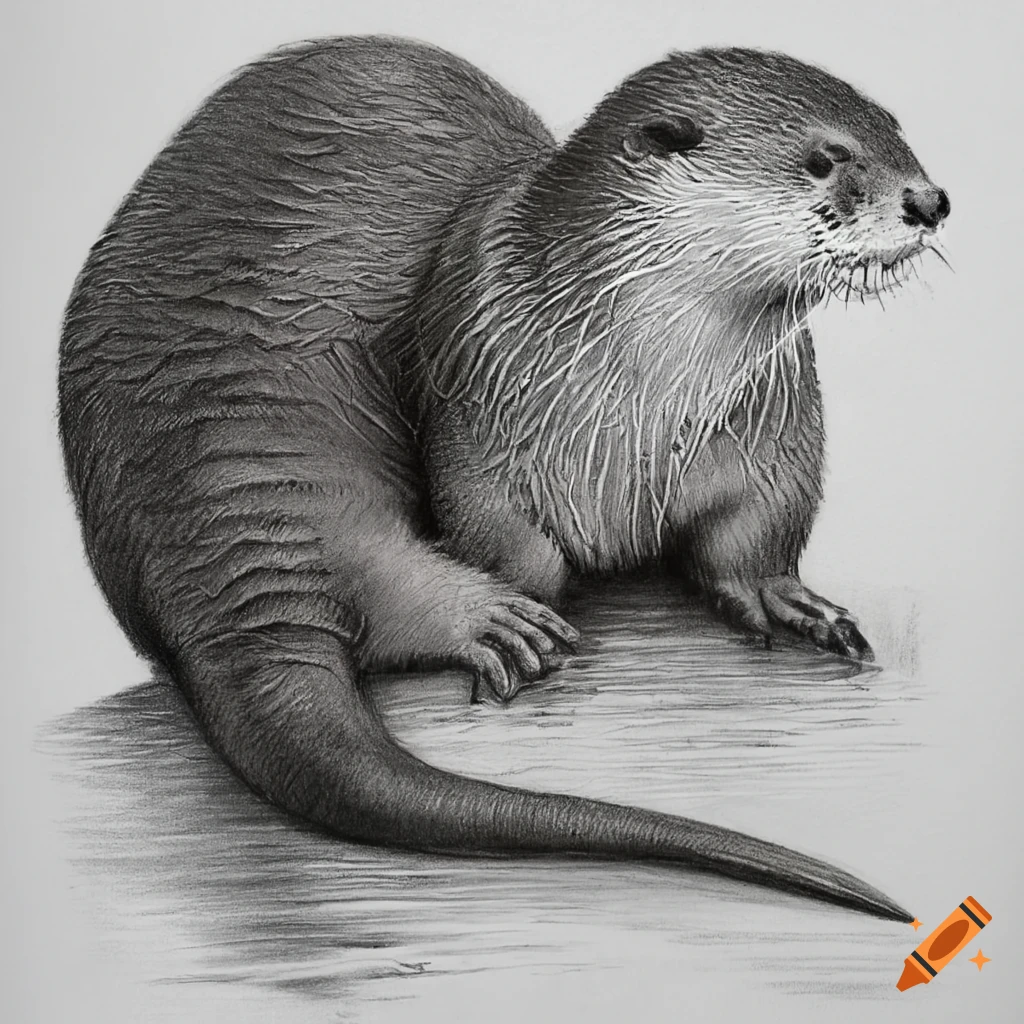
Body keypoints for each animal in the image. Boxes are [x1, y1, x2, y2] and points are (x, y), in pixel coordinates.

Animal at [58, 37, 948, 921]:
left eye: (896, 130)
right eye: (824, 159)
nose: (930, 200)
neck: (643, 407)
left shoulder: (773, 430)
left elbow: (756, 529)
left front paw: (782, 596)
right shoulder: (475, 386)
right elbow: (502, 530)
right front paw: (535, 596)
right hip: (274, 436)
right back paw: (489, 621)